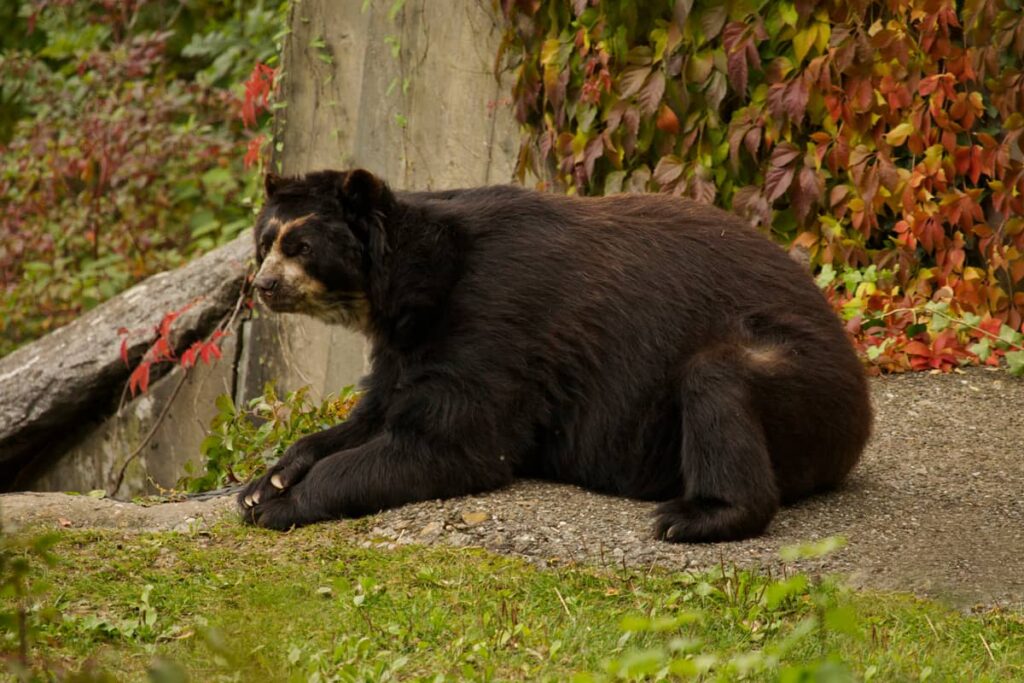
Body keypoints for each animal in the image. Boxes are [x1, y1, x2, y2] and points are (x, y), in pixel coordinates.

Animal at [238, 169, 872, 542]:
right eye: (264, 243)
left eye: (301, 246)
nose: (262, 286)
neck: (411, 289)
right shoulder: (406, 345)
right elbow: (371, 415)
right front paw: (265, 483)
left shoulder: (492, 320)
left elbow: (450, 442)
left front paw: (284, 504)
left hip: (802, 377)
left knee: (717, 382)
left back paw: (693, 515)